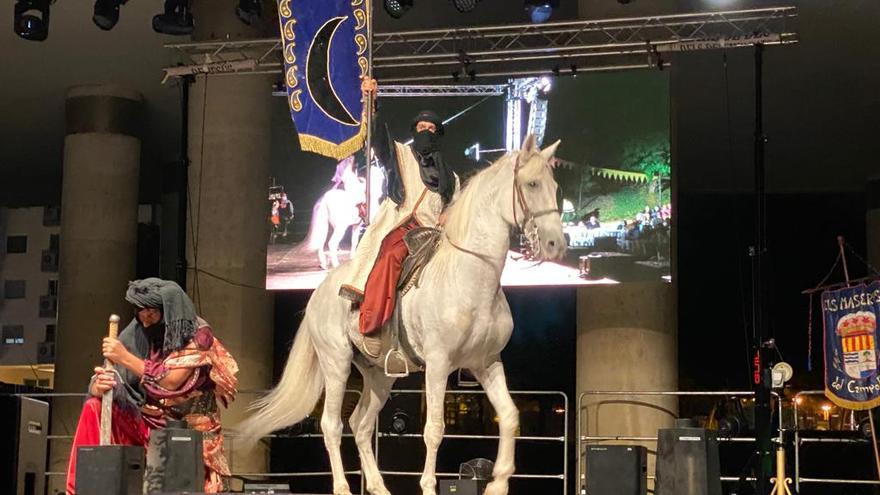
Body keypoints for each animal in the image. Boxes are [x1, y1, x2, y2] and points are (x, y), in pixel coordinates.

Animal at [242, 136, 564, 495]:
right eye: (532, 184)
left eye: (555, 186)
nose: (556, 243)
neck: (468, 275)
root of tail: (318, 293)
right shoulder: (438, 364)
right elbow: (434, 429)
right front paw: (428, 486)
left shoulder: (486, 362)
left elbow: (509, 416)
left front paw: (498, 483)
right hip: (336, 363)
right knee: (332, 425)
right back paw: (343, 486)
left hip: (380, 376)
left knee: (360, 424)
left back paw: (378, 486)